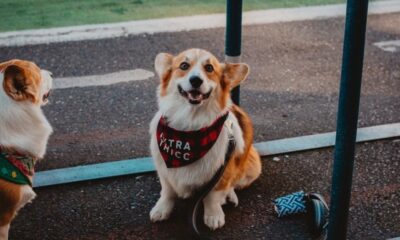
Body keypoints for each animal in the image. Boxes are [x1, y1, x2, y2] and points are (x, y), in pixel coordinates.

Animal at [148, 48, 260, 229]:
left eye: (209, 68)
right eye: (184, 65)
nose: (195, 80)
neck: (190, 126)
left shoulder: (221, 171)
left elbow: (212, 196)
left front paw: (213, 216)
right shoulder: (164, 171)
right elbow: (167, 191)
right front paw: (161, 209)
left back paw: (230, 197)